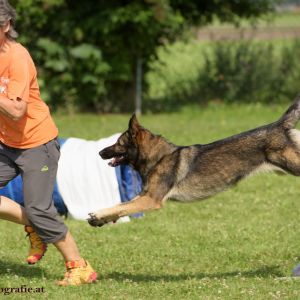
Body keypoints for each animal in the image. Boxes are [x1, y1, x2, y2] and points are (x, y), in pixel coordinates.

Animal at [88, 95, 300, 229]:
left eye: (118, 143)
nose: (99, 152)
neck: (158, 157)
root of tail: (278, 125)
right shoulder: (143, 196)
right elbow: (120, 206)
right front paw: (99, 219)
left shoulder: (151, 200)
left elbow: (122, 207)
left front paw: (97, 215)